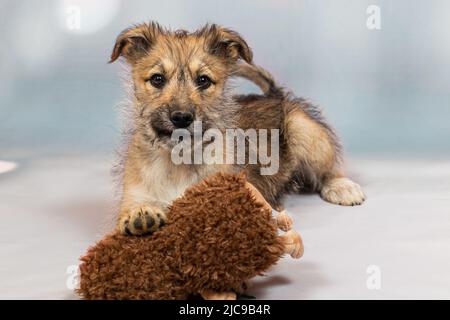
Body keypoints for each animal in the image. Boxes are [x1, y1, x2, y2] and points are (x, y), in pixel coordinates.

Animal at [109, 22, 366, 235]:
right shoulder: (135, 191)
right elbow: (134, 207)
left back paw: (343, 187)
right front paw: (141, 214)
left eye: (203, 80)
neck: (177, 161)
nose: (181, 118)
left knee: (328, 169)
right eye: (157, 79)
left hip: (305, 132)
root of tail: (275, 95)